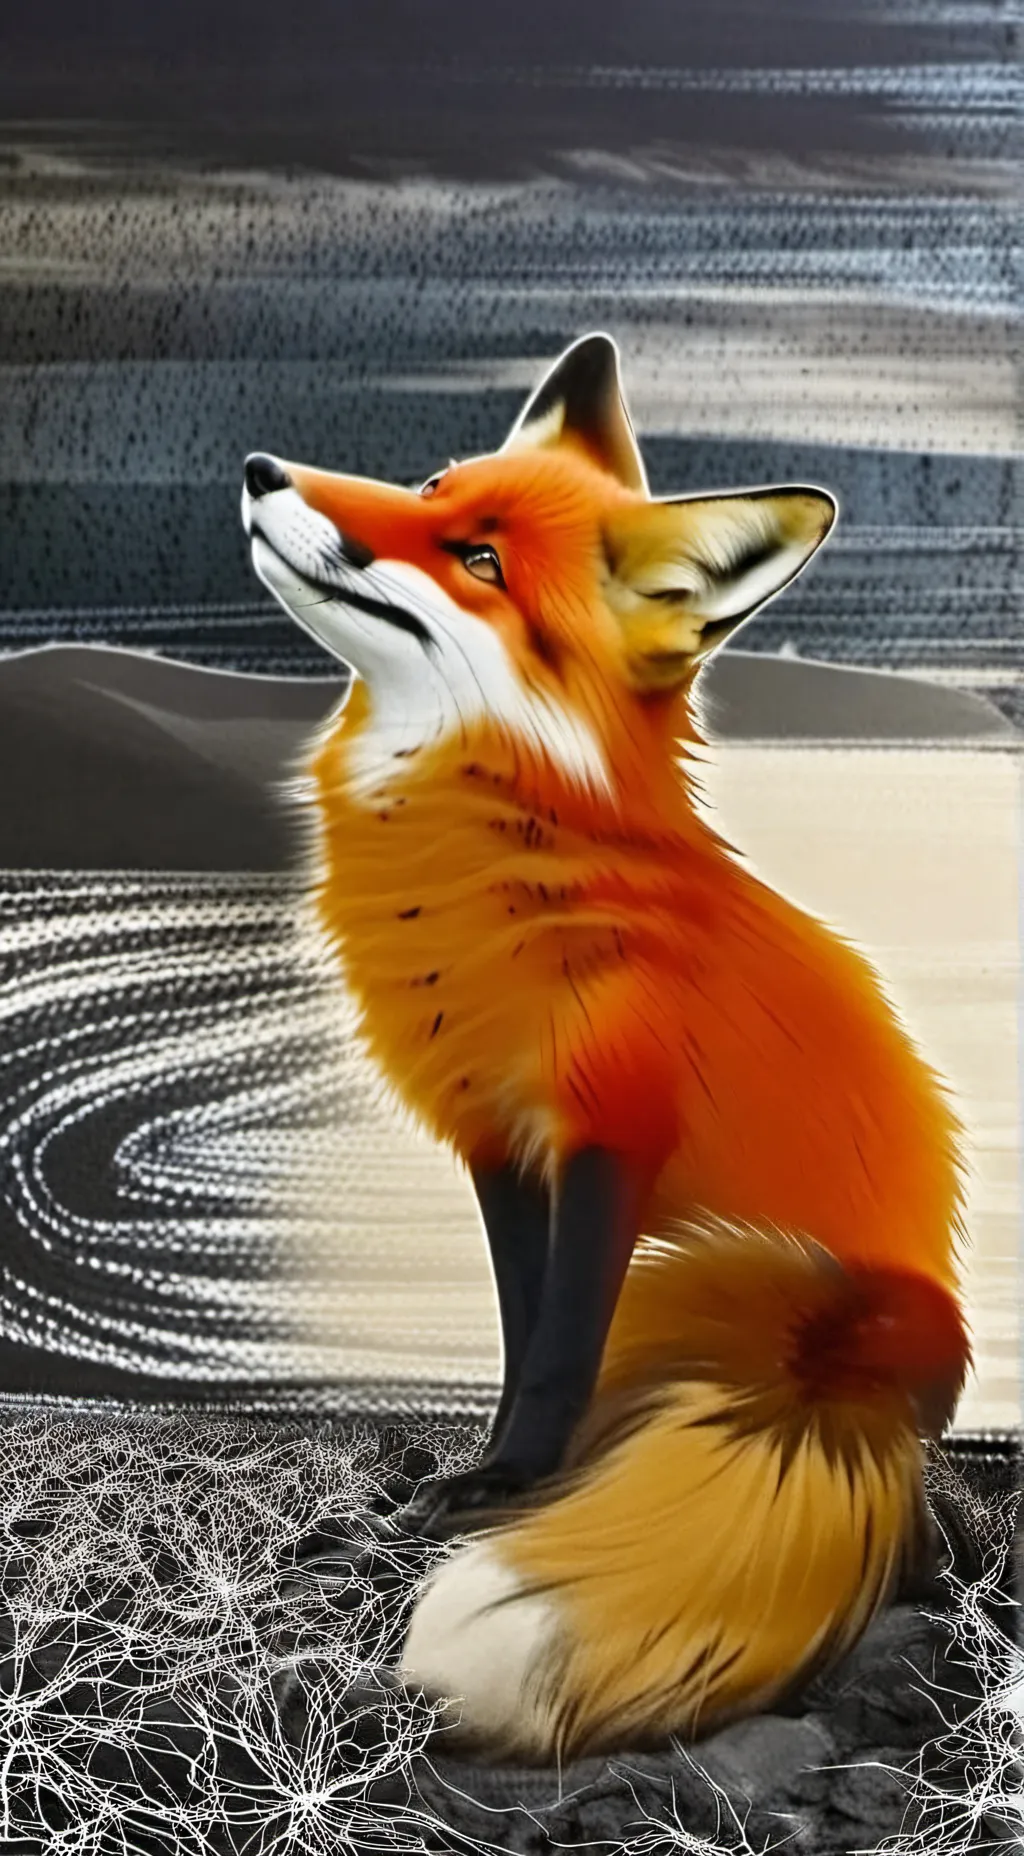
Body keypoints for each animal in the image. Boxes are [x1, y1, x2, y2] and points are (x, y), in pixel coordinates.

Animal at [241, 333, 971, 1765]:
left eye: (478, 558)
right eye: (431, 484)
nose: (258, 467)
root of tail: (863, 1357)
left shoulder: (607, 1133)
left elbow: (562, 1341)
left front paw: (512, 1483)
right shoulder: (500, 1140)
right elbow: (525, 1328)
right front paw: (499, 1474)